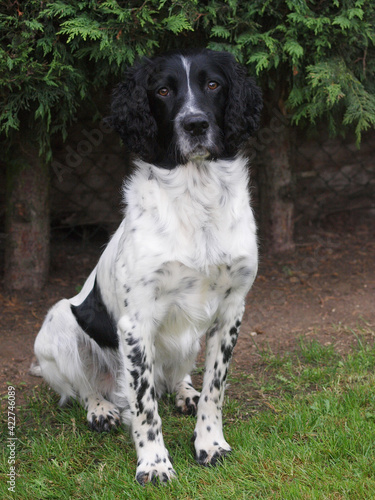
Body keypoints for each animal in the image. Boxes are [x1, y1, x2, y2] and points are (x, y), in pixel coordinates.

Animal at [33, 47, 262, 484]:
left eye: (213, 84)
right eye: (162, 91)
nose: (195, 124)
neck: (197, 197)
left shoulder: (232, 310)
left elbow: (215, 389)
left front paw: (210, 444)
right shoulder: (135, 323)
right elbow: (143, 406)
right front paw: (154, 463)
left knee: (175, 377)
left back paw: (184, 392)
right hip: (59, 325)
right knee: (85, 388)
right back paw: (101, 410)